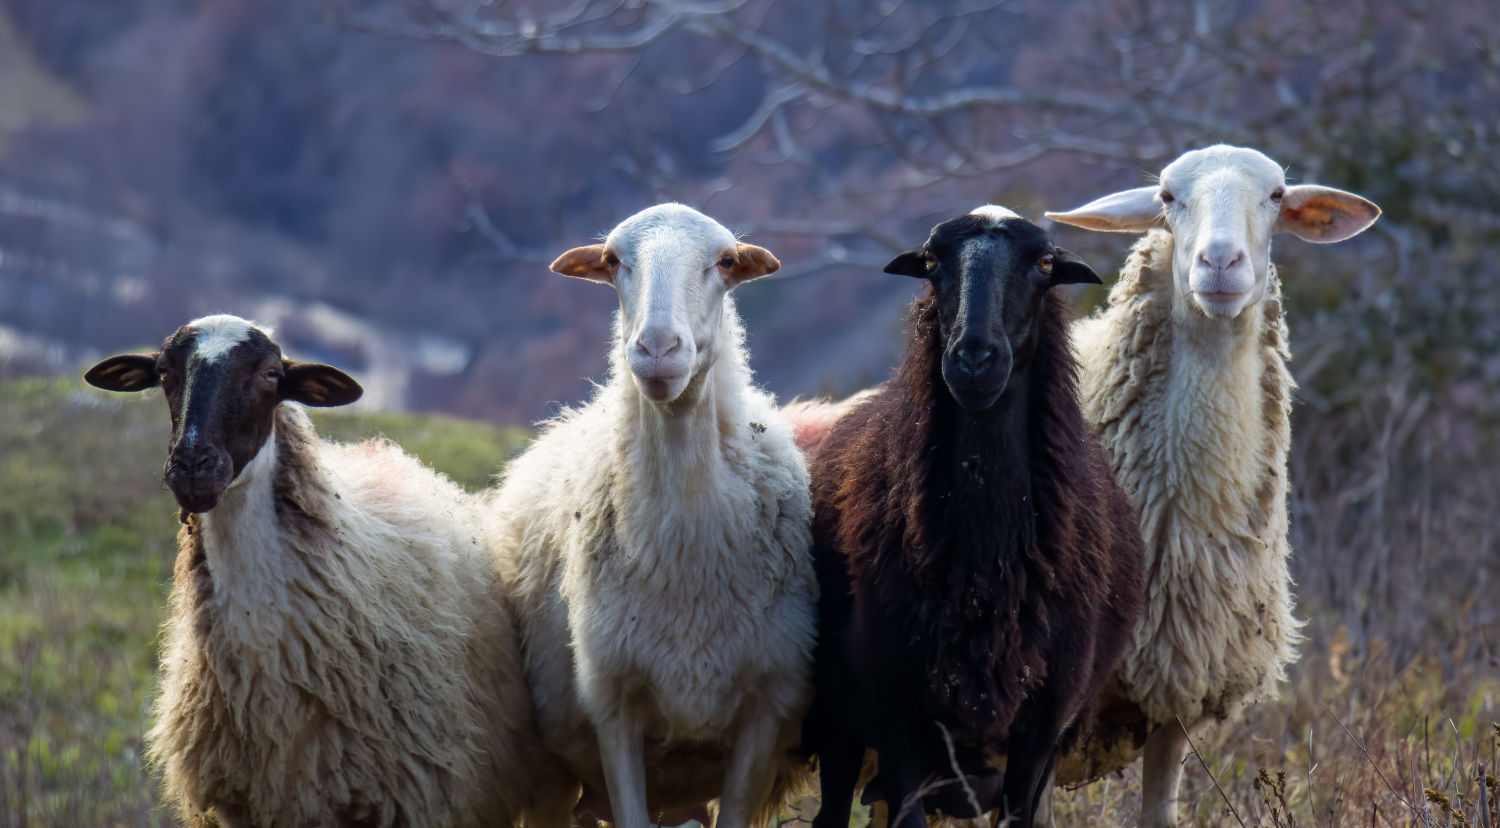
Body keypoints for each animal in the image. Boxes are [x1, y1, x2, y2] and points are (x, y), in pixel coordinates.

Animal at [480, 204, 816, 828]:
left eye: (726, 261)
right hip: (554, 771)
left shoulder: (767, 708)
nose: (657, 347)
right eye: (614, 261)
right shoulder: (613, 705)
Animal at [804, 205, 1140, 828]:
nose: (974, 360)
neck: (986, 570)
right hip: (840, 716)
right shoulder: (893, 707)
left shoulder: (1046, 721)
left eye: (1045, 263)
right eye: (932, 263)